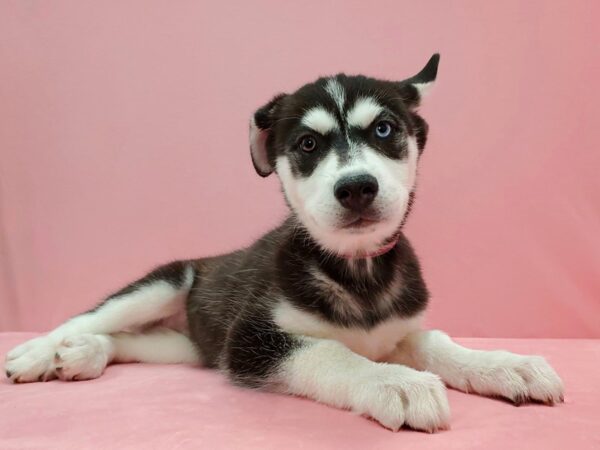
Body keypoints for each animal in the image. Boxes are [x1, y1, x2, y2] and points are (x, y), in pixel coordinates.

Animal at [3, 55, 564, 432]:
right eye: (307, 144)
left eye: (385, 130)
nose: (356, 187)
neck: (356, 271)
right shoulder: (250, 341)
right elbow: (330, 353)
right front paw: (394, 383)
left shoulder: (397, 330)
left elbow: (436, 342)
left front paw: (505, 365)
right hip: (163, 286)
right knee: (87, 319)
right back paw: (38, 353)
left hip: (185, 346)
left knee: (125, 340)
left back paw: (83, 356)